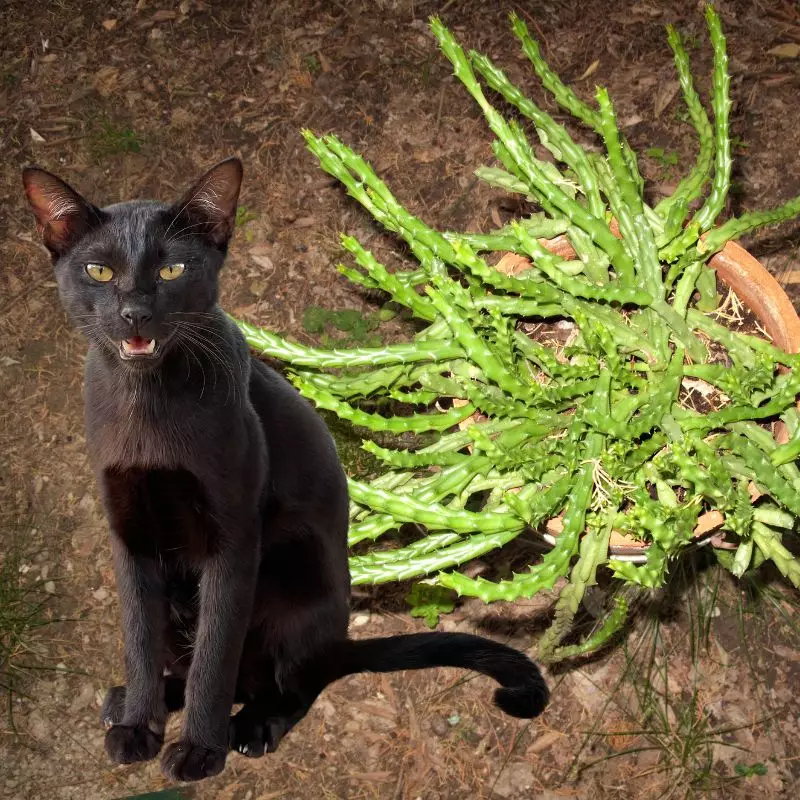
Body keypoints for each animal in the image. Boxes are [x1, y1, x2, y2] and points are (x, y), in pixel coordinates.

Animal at [25, 159, 552, 784]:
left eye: (173, 269)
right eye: (99, 271)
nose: (136, 312)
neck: (145, 408)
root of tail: (338, 637)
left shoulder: (233, 539)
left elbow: (215, 656)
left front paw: (199, 751)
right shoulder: (128, 534)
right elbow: (138, 638)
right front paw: (138, 726)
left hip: (294, 568)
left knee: (291, 681)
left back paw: (253, 725)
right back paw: (137, 699)